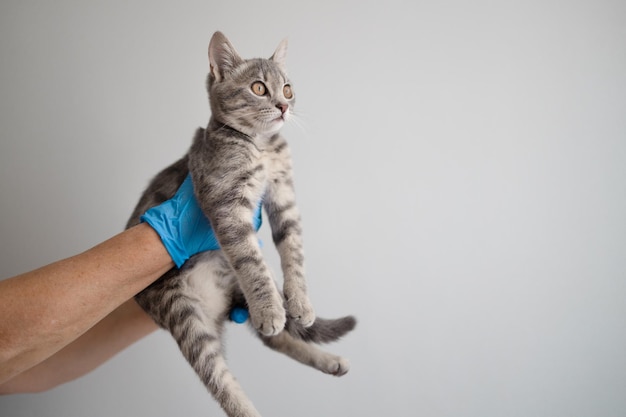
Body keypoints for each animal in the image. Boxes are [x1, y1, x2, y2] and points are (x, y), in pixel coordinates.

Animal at [124, 32, 354, 416]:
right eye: (259, 88)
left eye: (287, 89)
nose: (283, 106)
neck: (261, 148)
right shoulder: (226, 205)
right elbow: (251, 261)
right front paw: (270, 307)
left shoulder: (284, 197)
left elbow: (293, 251)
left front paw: (300, 302)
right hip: (181, 310)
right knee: (217, 374)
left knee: (276, 340)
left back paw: (326, 358)